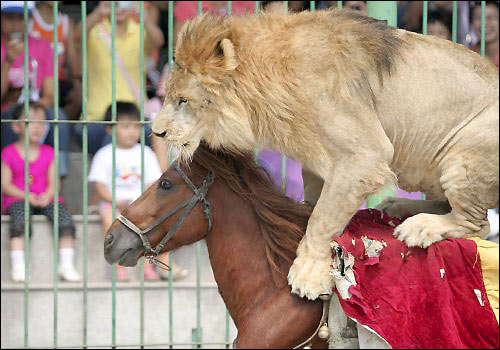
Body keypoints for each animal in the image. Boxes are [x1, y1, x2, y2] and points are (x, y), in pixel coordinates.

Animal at [152, 9, 500, 302]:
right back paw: (400, 207)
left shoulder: (365, 155)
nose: (156, 132)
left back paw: (420, 227)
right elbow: (315, 204)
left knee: (477, 225)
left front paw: (307, 274)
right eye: (169, 96)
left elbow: (322, 218)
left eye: (183, 100)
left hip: (463, 156)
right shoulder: (315, 158)